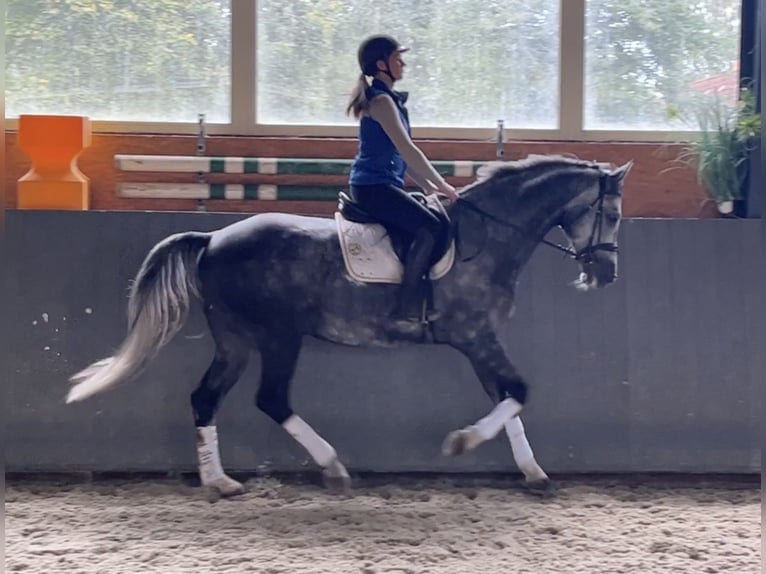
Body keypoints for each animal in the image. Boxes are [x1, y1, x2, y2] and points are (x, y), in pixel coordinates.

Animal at [66, 154, 632, 500]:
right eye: (612, 214)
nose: (605, 274)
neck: (487, 238)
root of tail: (212, 239)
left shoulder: (480, 342)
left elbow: (507, 398)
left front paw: (534, 474)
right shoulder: (476, 337)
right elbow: (518, 391)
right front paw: (461, 444)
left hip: (235, 339)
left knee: (206, 398)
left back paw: (221, 483)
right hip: (278, 336)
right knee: (271, 398)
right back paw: (333, 468)